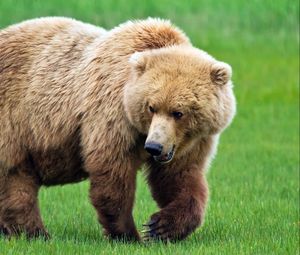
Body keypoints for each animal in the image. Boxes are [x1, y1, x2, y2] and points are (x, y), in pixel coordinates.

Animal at [0, 17, 236, 241]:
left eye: (178, 112)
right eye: (151, 107)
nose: (154, 147)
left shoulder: (190, 142)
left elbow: (180, 177)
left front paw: (161, 227)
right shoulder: (112, 114)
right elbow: (112, 172)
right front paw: (129, 234)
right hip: (16, 120)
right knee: (16, 180)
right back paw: (34, 232)